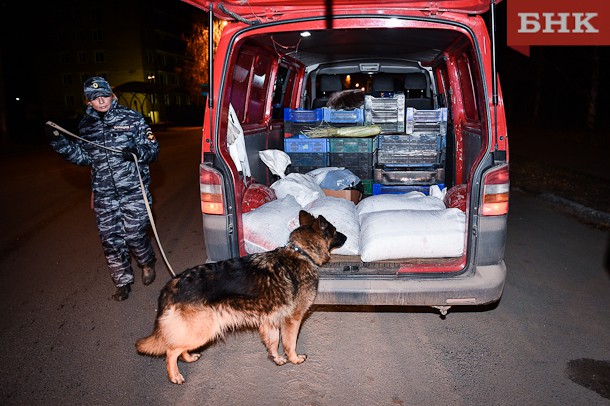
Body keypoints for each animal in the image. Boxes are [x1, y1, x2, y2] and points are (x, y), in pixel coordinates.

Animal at [135, 211, 344, 386]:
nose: (346, 237)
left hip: (195, 330)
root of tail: (173, 283)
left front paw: (276, 359)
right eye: (335, 230)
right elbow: (289, 342)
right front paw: (294, 359)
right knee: (171, 351)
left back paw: (188, 357)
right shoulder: (292, 319)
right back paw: (175, 375)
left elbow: (273, 342)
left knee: (179, 346)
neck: (301, 252)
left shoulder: (269, 321)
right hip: (204, 329)